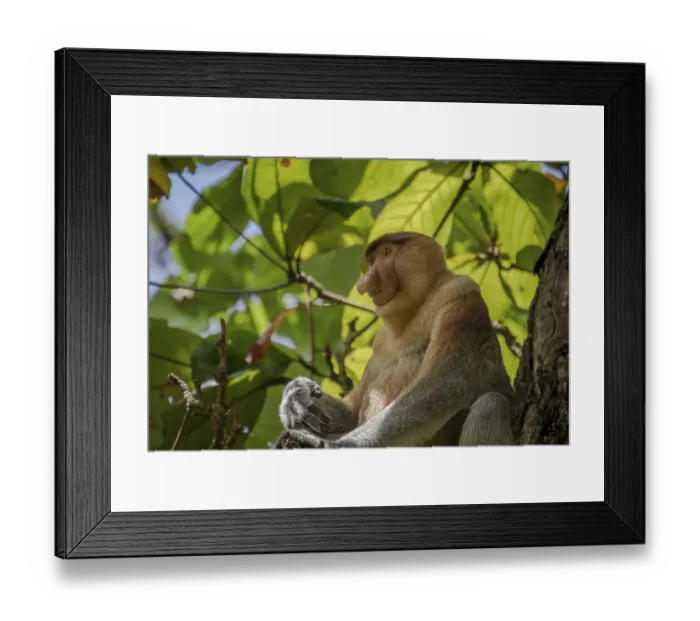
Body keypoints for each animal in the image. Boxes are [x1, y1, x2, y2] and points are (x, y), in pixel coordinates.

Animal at [273, 231, 517, 450]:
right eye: (372, 261)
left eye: (388, 252)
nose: (365, 282)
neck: (417, 306)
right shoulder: (380, 343)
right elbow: (352, 412)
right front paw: (296, 395)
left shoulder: (460, 296)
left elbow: (444, 386)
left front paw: (332, 445)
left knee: (491, 405)